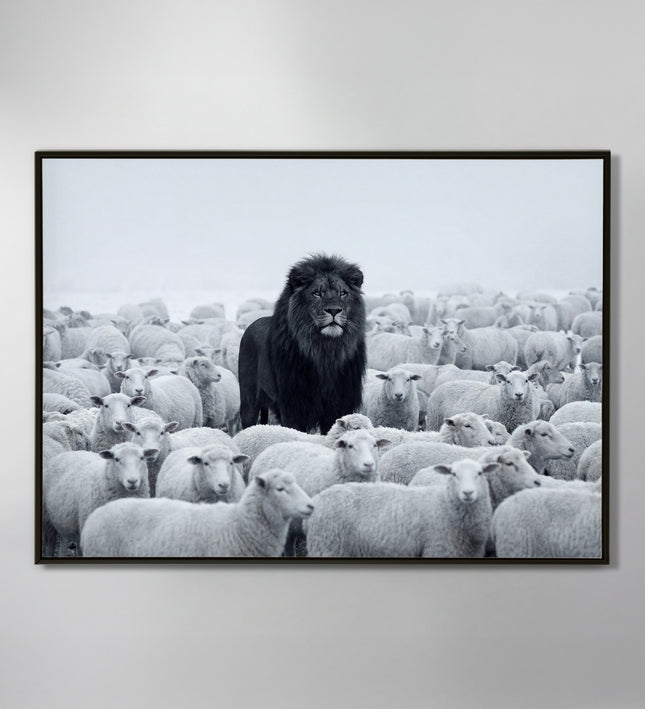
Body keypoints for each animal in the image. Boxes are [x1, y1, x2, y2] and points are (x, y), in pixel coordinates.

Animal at [238, 253, 367, 434]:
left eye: (343, 293)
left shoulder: (338, 404)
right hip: (249, 400)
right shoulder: (293, 406)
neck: (325, 351)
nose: (334, 310)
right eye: (317, 293)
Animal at [306, 458, 499, 558]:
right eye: (453, 474)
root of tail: (318, 499)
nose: (468, 492)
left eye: (480, 473)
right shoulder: (439, 549)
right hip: (327, 545)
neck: (444, 504)